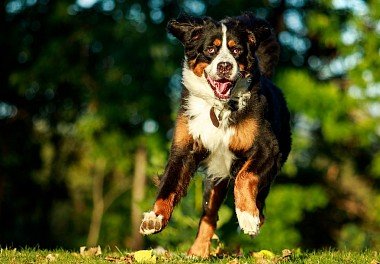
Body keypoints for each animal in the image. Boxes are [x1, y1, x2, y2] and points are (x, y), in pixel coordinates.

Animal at [140, 11, 290, 256]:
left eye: (236, 50)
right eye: (211, 49)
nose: (225, 66)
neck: (218, 108)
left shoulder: (268, 148)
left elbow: (245, 177)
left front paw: (248, 217)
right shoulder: (184, 148)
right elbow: (169, 185)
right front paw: (155, 217)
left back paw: (255, 215)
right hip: (215, 180)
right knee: (209, 215)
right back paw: (197, 251)